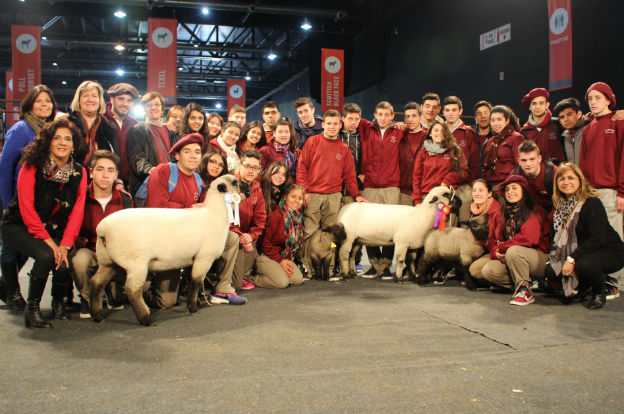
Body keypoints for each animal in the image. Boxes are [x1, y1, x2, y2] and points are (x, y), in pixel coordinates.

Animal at [89, 173, 240, 326]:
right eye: (235, 182)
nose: (245, 187)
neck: (214, 214)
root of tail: (102, 229)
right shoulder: (204, 257)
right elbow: (196, 281)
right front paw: (192, 307)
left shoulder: (192, 258)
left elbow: (191, 280)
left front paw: (193, 303)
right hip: (136, 263)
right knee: (132, 290)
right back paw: (146, 319)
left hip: (107, 260)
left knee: (96, 282)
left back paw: (97, 315)